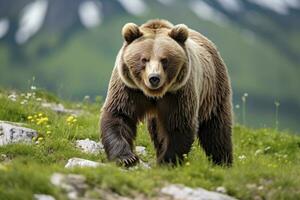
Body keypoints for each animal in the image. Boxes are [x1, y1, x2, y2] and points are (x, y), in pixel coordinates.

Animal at [99, 18, 233, 166]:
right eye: (144, 59)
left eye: (164, 60)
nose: (154, 78)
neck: (154, 94)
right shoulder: (129, 88)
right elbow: (119, 115)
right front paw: (126, 158)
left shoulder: (179, 92)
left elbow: (178, 124)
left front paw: (167, 161)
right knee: (156, 131)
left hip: (213, 90)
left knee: (216, 129)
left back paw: (223, 161)